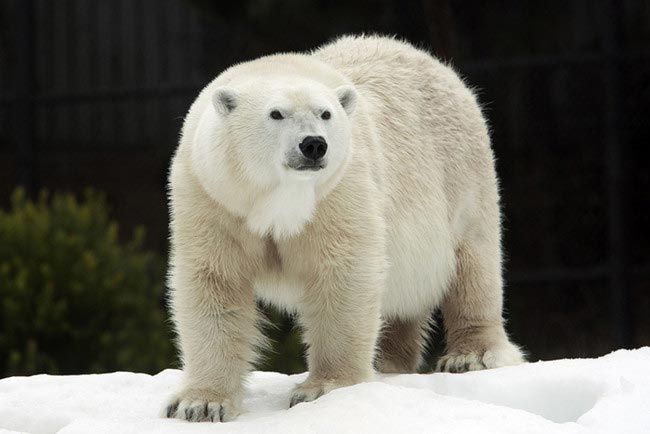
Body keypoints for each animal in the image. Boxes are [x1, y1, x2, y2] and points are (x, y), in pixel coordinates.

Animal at [162, 35, 520, 422]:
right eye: (276, 113)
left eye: (325, 113)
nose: (313, 144)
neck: (279, 201)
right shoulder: (214, 197)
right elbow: (214, 281)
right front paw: (200, 404)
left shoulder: (340, 189)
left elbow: (344, 273)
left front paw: (323, 388)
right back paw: (388, 360)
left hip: (460, 176)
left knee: (472, 263)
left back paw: (470, 355)